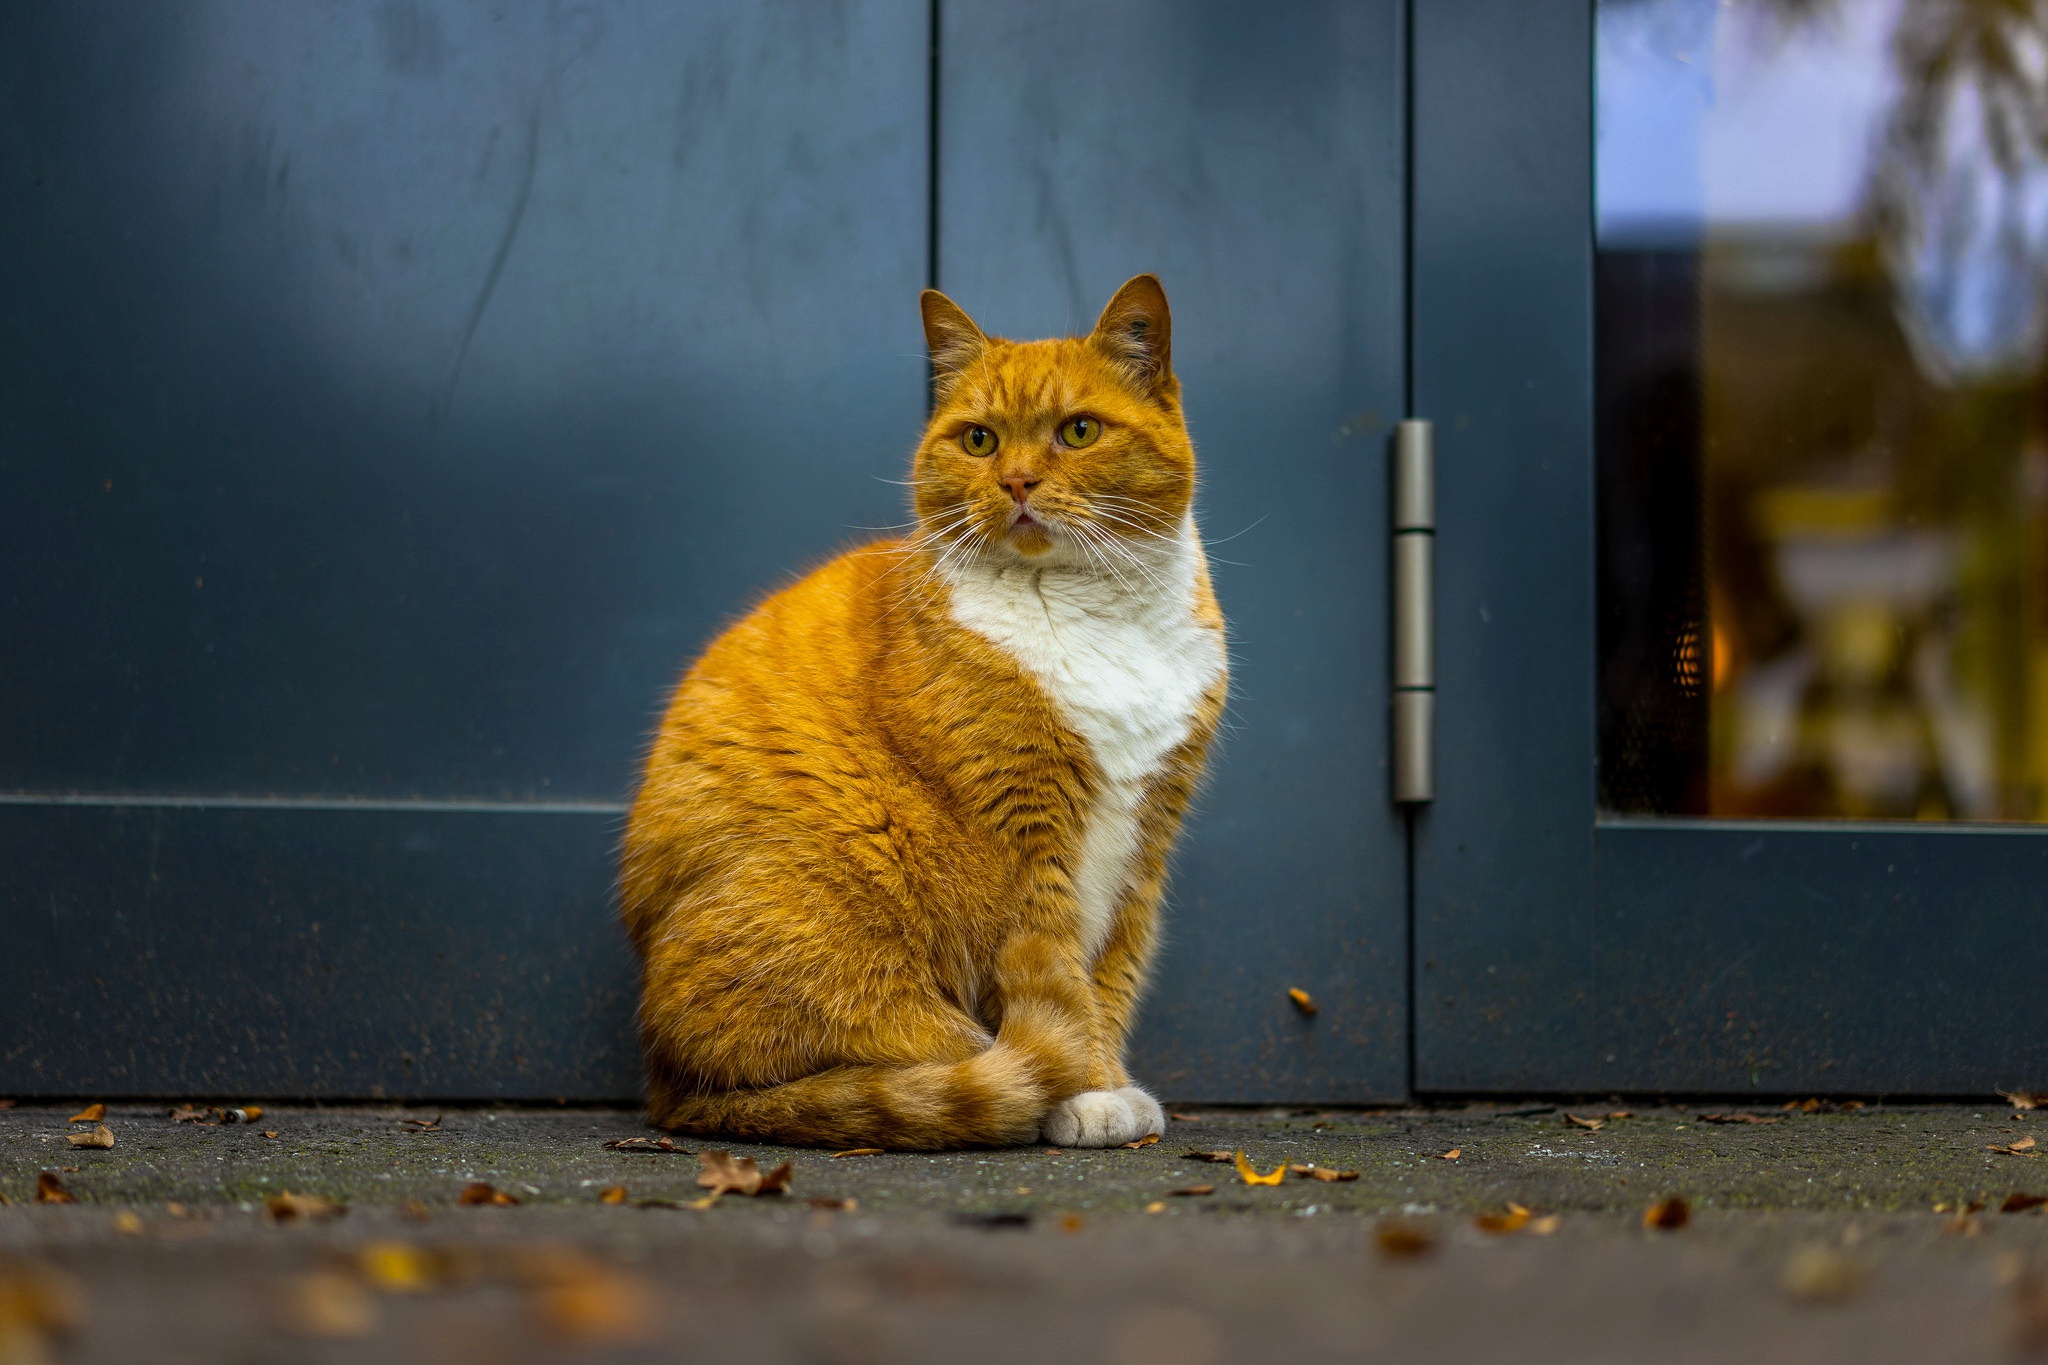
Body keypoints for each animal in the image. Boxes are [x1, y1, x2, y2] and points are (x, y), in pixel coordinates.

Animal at [622, 278, 1220, 1154]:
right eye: (978, 439)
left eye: (1078, 431)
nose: (1016, 482)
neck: (1094, 611)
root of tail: (671, 1088)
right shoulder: (1025, 833)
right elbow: (1062, 981)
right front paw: (1083, 1091)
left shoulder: (1146, 843)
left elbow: (1111, 978)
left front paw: (1106, 1084)